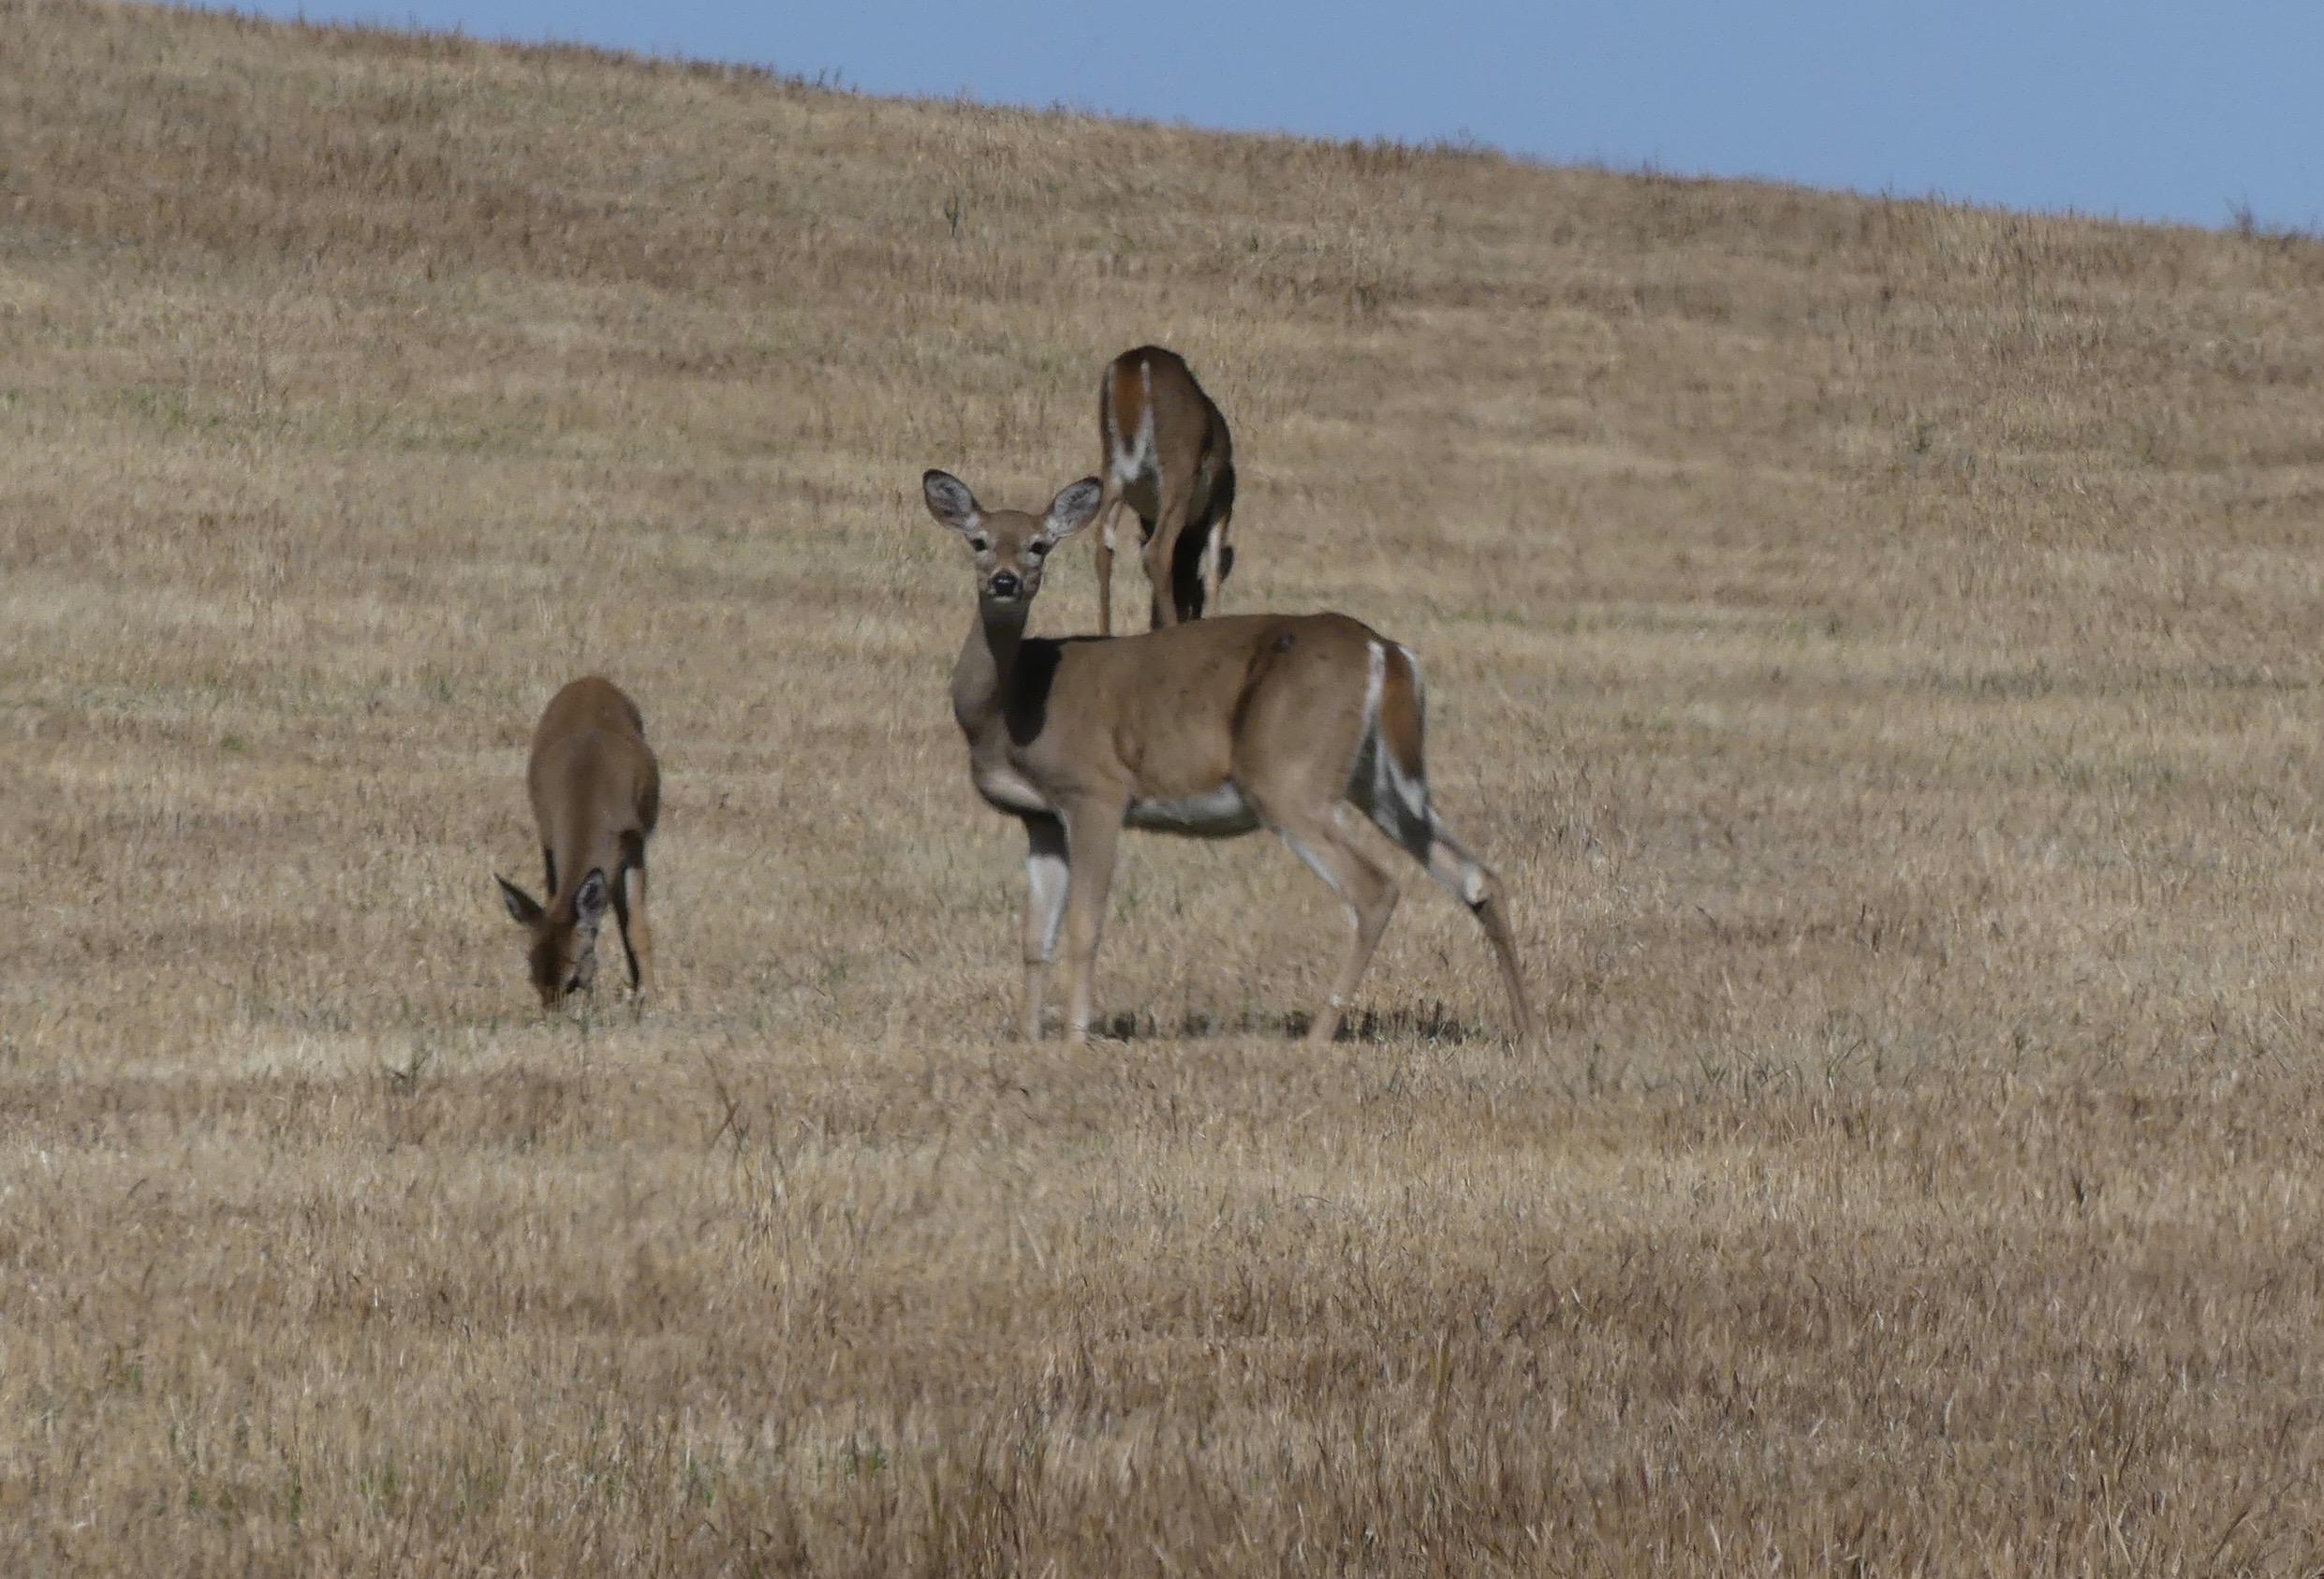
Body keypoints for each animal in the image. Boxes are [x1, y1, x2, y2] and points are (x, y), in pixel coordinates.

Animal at [492, 676, 661, 1009]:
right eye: (532, 978)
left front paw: (654, 998)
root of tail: (592, 679)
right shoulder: (549, 837)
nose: (553, 1015)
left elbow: (636, 925)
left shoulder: (635, 845)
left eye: (570, 981)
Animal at [922, 467, 1535, 1048]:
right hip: (1380, 779)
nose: (1005, 581)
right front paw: (1029, 1039)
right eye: (979, 541)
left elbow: (1084, 926)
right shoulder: (1040, 818)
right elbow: (1034, 936)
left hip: (1289, 774)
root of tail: (1384, 650)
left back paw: (1316, 1039)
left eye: (1039, 545)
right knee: (1477, 877)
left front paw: (1074, 1041)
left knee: (1376, 888)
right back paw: (1527, 1031)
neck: (1010, 705)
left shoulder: (1095, 792)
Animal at [1092, 345, 1237, 634]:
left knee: (1103, 545)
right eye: (1195, 600)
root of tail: (1135, 362)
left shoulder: (1147, 515)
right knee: (1157, 552)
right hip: (1178, 471)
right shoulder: (1225, 494)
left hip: (1112, 471)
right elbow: (1214, 567)